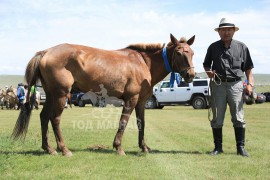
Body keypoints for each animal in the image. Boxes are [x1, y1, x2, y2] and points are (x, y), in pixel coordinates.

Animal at [12, 33, 195, 156]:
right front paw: (118, 147)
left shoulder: (141, 101)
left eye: (191, 52)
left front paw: (144, 147)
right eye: (179, 52)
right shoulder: (131, 99)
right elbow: (123, 122)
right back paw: (64, 149)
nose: (191, 74)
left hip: (51, 94)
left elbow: (141, 123)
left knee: (44, 117)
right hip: (61, 95)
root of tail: (45, 52)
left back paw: (49, 148)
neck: (143, 63)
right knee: (54, 119)